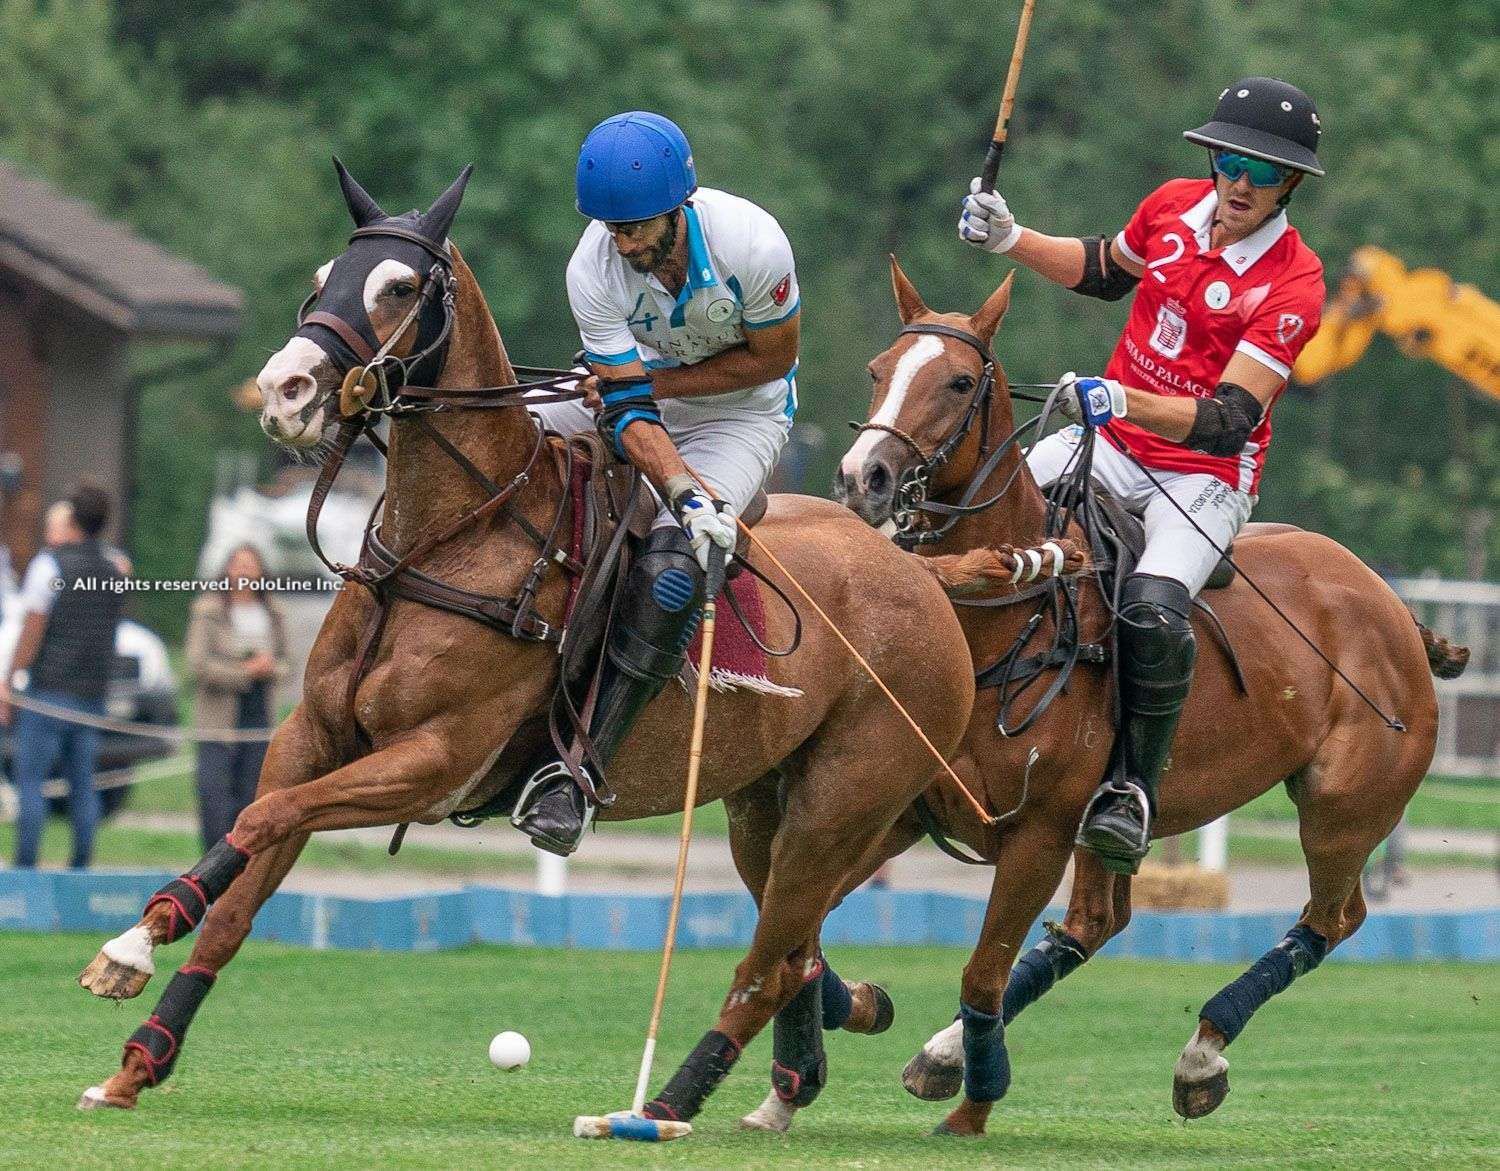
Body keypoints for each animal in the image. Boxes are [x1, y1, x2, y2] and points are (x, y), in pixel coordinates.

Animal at [76, 168, 978, 1127]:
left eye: (401, 286)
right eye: (326, 274)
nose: (284, 390)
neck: (449, 539)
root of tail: (922, 575)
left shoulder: (433, 761)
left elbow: (260, 816)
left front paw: (131, 944)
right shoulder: (311, 737)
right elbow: (248, 872)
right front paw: (137, 1047)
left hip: (836, 807)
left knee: (766, 960)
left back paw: (664, 1105)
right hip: (760, 803)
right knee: (797, 950)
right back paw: (817, 1044)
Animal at [834, 260, 1464, 1139]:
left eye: (959, 381)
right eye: (876, 370)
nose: (864, 477)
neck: (996, 624)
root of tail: (1397, 608)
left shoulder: (1039, 830)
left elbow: (981, 968)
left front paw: (969, 1112)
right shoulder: (903, 808)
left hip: (1344, 805)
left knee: (1332, 918)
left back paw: (1201, 1053)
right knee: (1099, 920)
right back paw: (943, 1051)